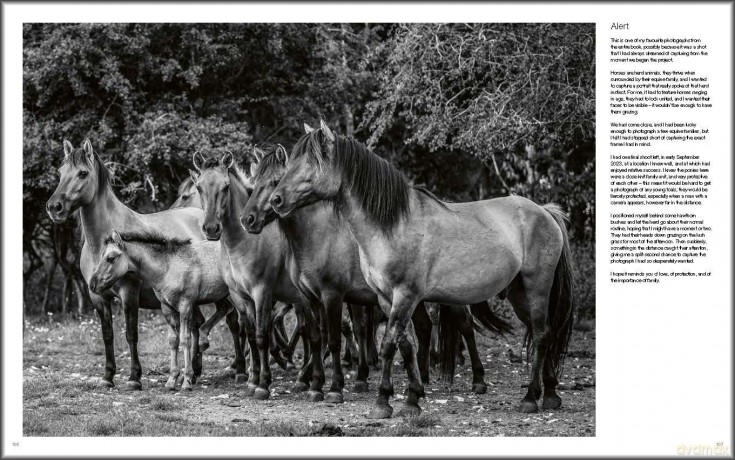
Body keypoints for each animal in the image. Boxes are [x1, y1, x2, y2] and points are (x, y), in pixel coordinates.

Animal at [89, 229, 236, 391]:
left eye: (111, 258)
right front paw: (172, 380)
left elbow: (185, 340)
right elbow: (173, 341)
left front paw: (186, 380)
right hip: (220, 295)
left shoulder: (185, 305)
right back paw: (204, 343)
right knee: (225, 310)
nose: (92, 285)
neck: (168, 267)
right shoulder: (167, 308)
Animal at [190, 151, 317, 401]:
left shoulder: (262, 293)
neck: (244, 243)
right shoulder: (240, 297)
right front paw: (252, 379)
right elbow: (249, 334)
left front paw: (263, 384)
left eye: (226, 187)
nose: (211, 228)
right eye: (199, 187)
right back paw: (305, 378)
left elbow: (261, 336)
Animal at [241, 143, 512, 398]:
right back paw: (421, 380)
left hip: (449, 296)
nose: (248, 219)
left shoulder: (334, 295)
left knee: (465, 327)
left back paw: (477, 379)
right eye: (254, 182)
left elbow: (336, 338)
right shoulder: (310, 298)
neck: (320, 235)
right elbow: (318, 337)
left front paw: (336, 385)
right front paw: (314, 383)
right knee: (424, 328)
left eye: (275, 181)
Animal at [269, 120, 575, 418]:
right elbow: (405, 345)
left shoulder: (405, 295)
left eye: (311, 162)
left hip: (537, 287)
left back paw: (530, 397)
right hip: (519, 293)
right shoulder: (386, 298)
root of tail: (545, 211)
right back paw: (550, 394)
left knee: (540, 334)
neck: (392, 225)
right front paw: (412, 399)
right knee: (543, 331)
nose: (276, 200)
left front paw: (383, 402)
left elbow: (389, 345)